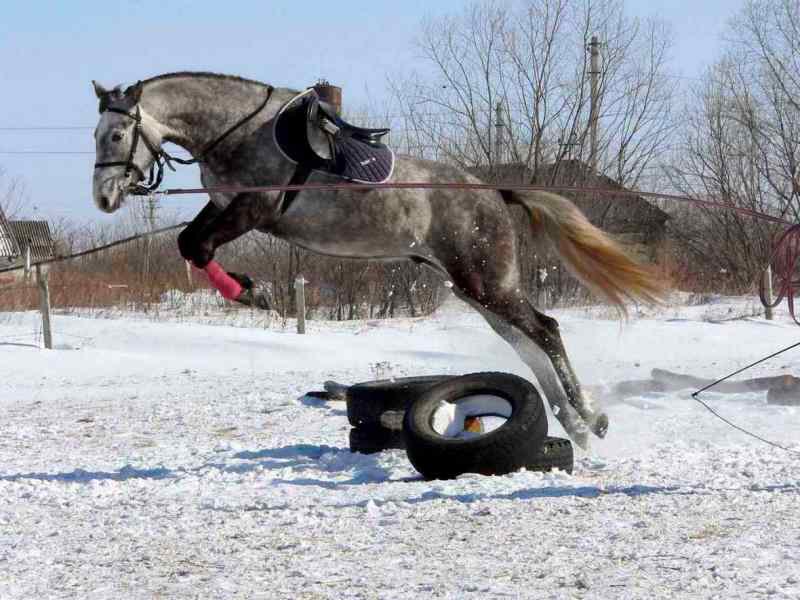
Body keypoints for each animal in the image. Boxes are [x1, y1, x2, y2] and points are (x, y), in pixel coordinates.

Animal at [91, 72, 664, 449]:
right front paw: (253, 290)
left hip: (486, 279)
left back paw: (588, 419)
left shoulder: (254, 208)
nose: (103, 197)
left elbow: (197, 247)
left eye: (116, 135)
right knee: (525, 341)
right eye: (97, 136)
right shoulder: (223, 206)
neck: (234, 129)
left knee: (544, 330)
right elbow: (190, 243)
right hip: (474, 286)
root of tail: (493, 194)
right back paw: (577, 424)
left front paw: (255, 293)